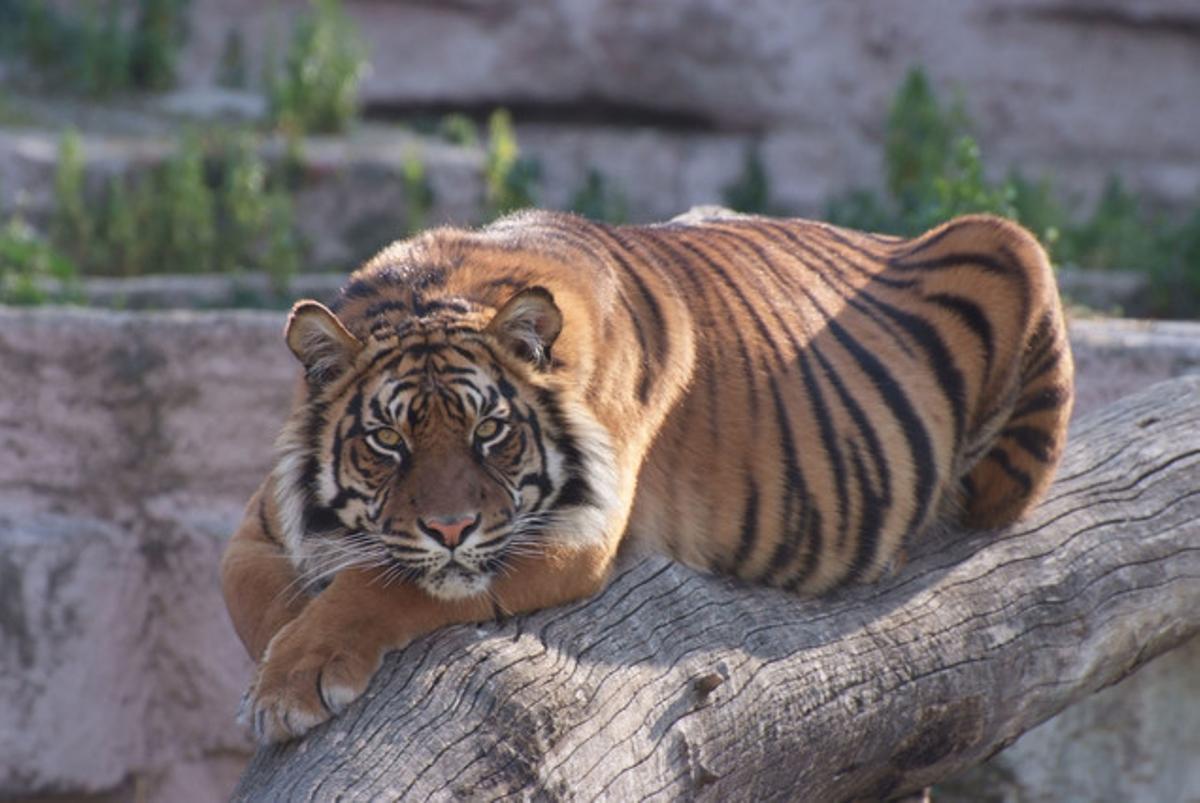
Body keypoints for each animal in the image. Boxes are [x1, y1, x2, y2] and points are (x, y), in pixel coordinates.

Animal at [220, 205, 1075, 739]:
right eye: (388, 440)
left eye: (490, 430)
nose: (450, 527)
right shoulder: (266, 516)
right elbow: (250, 589)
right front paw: (279, 661)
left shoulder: (570, 533)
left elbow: (383, 583)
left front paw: (293, 679)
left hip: (1010, 250)